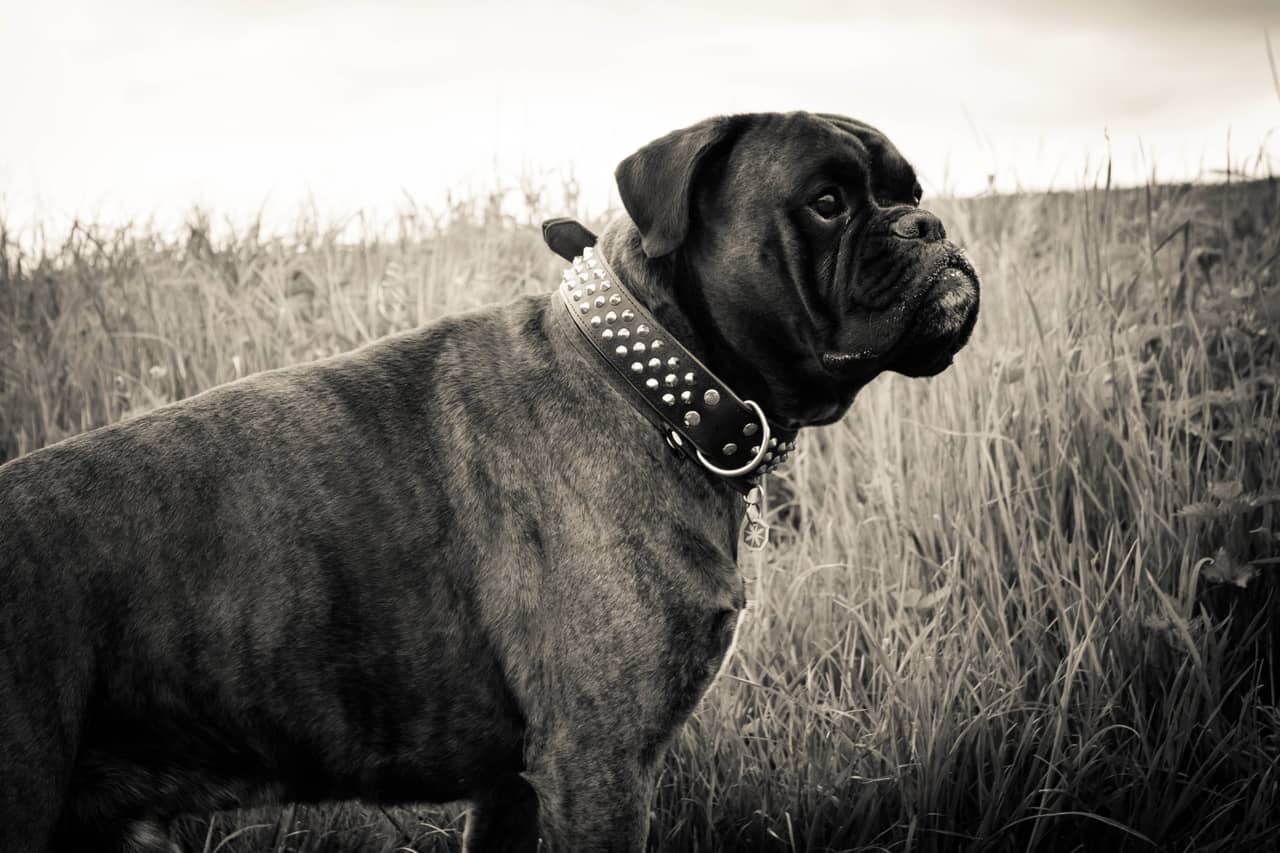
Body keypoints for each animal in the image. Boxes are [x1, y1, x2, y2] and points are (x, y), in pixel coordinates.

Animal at [2, 112, 977, 850]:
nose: (928, 226)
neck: (651, 381)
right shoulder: (598, 768)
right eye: (826, 202)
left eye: (913, 192)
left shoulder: (513, 788)